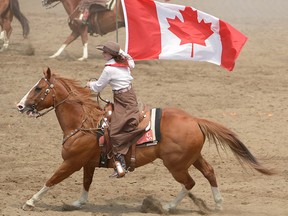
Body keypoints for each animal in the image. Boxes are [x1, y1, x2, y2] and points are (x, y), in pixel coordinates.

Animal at [16, 68, 274, 212]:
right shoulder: (87, 163)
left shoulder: (71, 162)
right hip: (193, 158)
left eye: (38, 88)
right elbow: (86, 183)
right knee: (209, 172)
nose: (19, 106)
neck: (85, 123)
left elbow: (52, 180)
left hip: (176, 164)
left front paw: (30, 201)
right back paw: (218, 204)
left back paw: (168, 206)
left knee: (189, 183)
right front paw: (77, 203)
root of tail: (194, 119)